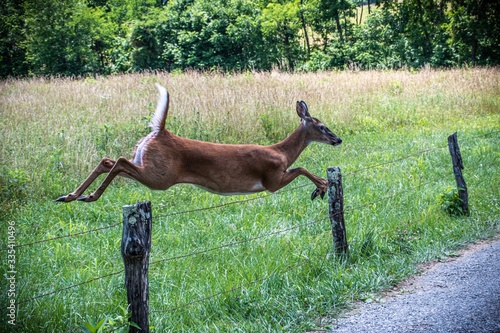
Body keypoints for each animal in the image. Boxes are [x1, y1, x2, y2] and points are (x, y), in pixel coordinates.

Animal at [56, 83, 342, 202]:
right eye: (322, 126)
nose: (337, 139)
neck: (281, 151)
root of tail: (161, 132)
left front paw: (320, 188)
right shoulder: (271, 179)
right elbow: (302, 168)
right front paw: (322, 187)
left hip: (148, 164)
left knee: (108, 160)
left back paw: (70, 196)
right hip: (161, 176)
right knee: (120, 161)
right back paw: (89, 196)